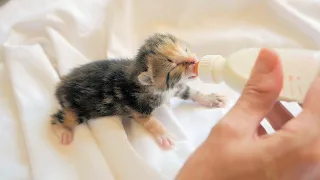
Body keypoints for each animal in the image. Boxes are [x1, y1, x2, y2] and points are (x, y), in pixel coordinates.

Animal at [50, 33, 225, 149]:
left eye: (186, 49)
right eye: (175, 65)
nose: (194, 61)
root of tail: (60, 87)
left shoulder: (175, 88)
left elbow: (190, 92)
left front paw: (211, 98)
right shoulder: (137, 108)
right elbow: (151, 122)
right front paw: (164, 134)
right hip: (79, 109)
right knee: (57, 118)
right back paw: (62, 131)